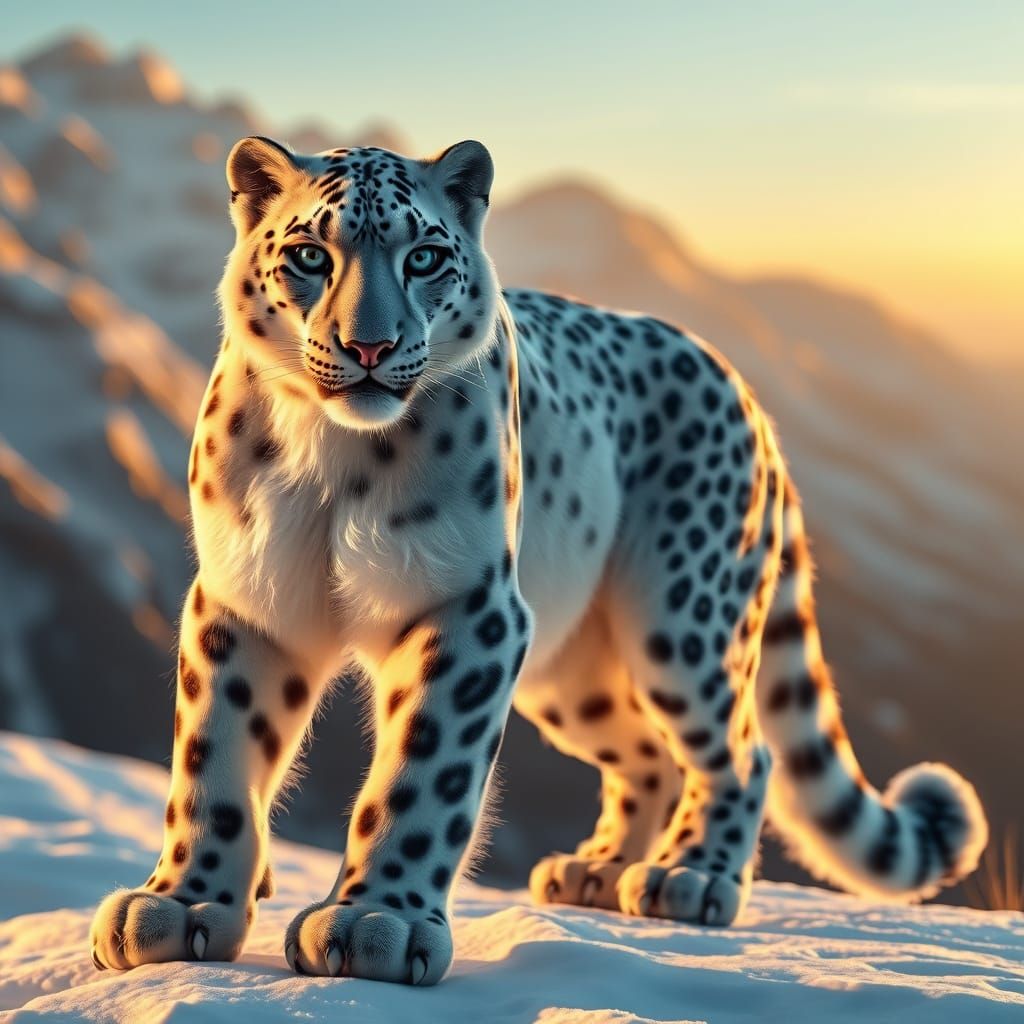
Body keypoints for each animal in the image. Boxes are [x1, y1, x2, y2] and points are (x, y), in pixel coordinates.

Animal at [90, 136, 988, 985]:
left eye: (424, 256)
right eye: (311, 254)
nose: (371, 346)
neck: (330, 458)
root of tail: (748, 395)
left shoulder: (466, 604)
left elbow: (424, 771)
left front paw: (377, 923)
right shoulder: (246, 599)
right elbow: (213, 758)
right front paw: (182, 905)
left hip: (682, 623)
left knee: (741, 750)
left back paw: (688, 877)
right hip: (570, 670)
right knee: (649, 753)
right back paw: (597, 870)